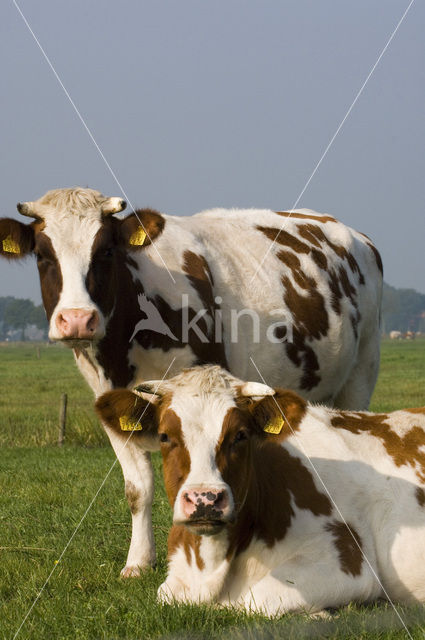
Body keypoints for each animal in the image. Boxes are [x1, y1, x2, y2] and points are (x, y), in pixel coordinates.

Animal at [0, 186, 382, 576]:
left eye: (106, 251)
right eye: (42, 255)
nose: (77, 320)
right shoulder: (112, 405)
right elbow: (137, 488)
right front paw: (138, 561)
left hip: (361, 372)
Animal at [96, 368, 424, 616]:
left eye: (240, 435)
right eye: (165, 436)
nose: (205, 499)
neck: (211, 566)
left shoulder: (347, 559)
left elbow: (255, 601)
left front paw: (320, 613)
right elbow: (166, 594)